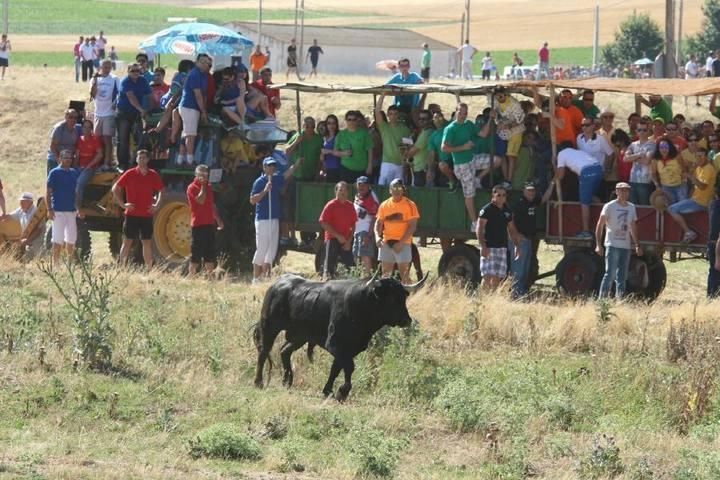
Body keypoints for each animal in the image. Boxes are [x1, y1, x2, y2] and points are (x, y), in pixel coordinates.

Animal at [255, 272, 428, 400]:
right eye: (390, 298)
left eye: (402, 297)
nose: (406, 320)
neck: (362, 304)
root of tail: (278, 283)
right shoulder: (335, 344)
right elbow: (349, 367)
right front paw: (342, 392)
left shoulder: (349, 348)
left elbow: (336, 368)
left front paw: (328, 391)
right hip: (269, 326)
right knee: (263, 352)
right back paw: (259, 383)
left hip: (299, 335)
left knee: (284, 351)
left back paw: (287, 381)